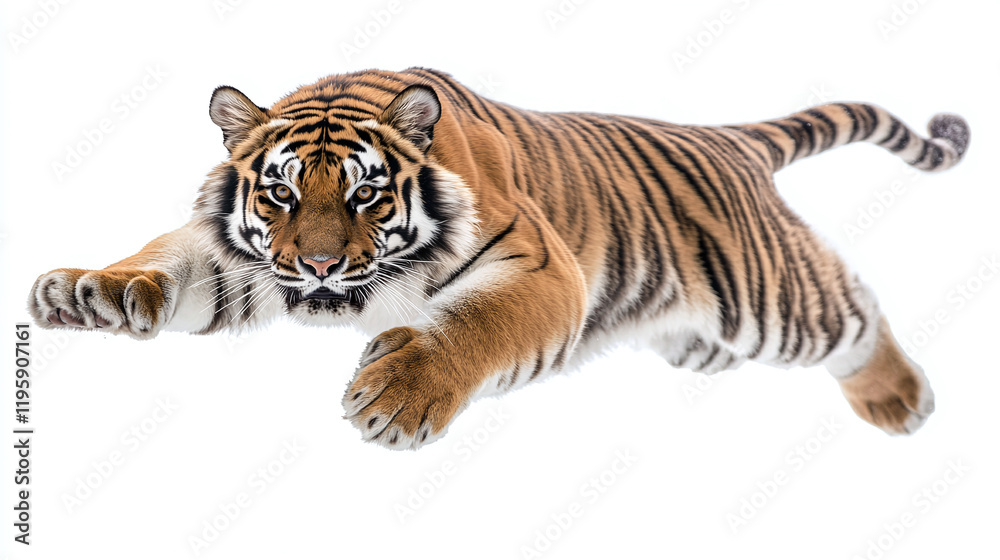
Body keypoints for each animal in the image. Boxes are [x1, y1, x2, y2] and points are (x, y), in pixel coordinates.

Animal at [27, 68, 970, 449]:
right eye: (281, 196)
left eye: (366, 196)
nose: (323, 270)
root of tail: (723, 136)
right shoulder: (249, 259)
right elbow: (175, 259)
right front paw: (91, 289)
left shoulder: (546, 270)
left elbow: (479, 323)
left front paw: (397, 397)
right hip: (693, 329)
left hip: (768, 299)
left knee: (854, 306)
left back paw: (900, 399)